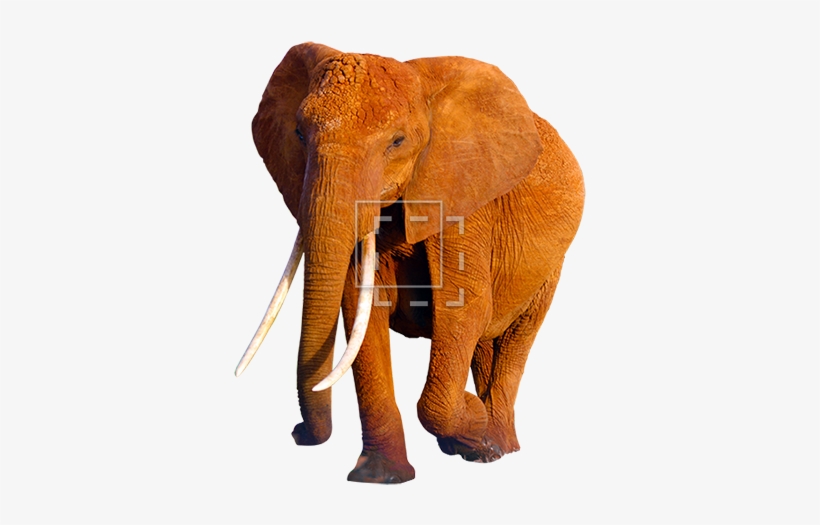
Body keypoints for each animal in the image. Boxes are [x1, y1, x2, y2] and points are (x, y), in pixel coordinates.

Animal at [234, 42, 584, 484]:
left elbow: (464, 309)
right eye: (298, 134)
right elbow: (361, 308)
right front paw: (379, 478)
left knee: (516, 334)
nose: (297, 433)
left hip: (552, 264)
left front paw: (474, 420)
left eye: (397, 142)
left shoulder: (464, 197)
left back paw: (495, 448)